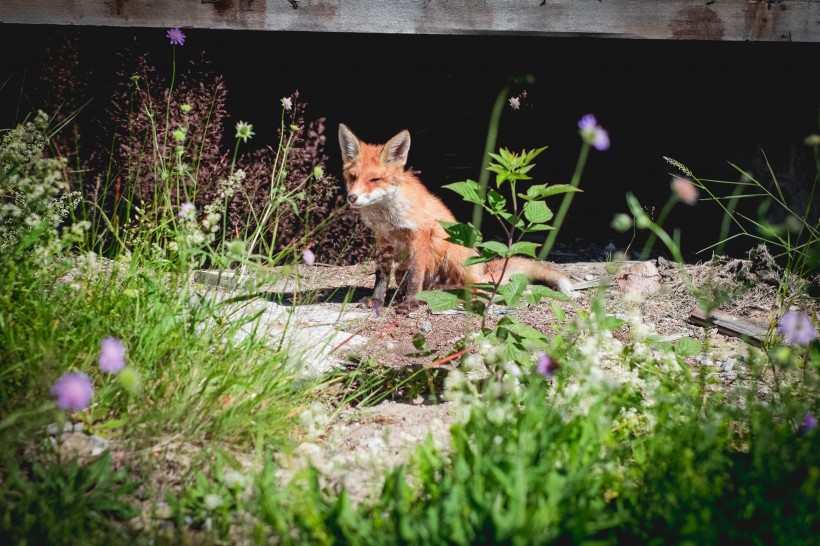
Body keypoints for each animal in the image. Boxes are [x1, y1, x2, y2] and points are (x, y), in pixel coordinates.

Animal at [336, 122, 572, 310]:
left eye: (375, 180)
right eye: (353, 177)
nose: (352, 197)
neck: (387, 216)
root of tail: (484, 273)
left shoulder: (420, 235)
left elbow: (415, 276)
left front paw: (410, 304)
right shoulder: (382, 239)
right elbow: (381, 276)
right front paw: (376, 301)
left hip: (454, 252)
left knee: (475, 291)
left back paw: (443, 297)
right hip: (405, 269)